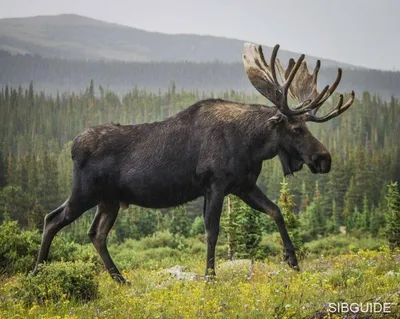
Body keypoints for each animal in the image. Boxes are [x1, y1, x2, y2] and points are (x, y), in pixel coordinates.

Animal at [33, 42, 354, 282]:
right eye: (297, 128)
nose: (324, 159)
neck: (252, 146)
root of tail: (73, 146)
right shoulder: (216, 185)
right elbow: (212, 230)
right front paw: (210, 276)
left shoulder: (243, 186)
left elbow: (276, 211)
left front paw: (292, 260)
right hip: (85, 192)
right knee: (52, 219)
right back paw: (37, 271)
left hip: (109, 200)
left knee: (96, 234)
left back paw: (120, 279)